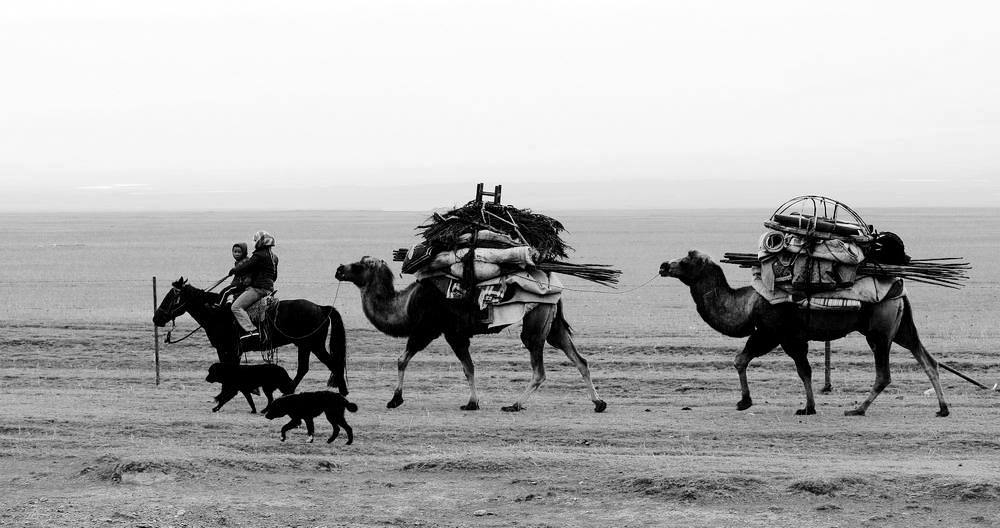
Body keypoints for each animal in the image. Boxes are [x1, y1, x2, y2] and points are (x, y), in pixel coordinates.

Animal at [334, 256, 608, 412]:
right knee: (579, 359)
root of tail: (555, 286)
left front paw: (395, 400)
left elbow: (405, 360)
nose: (338, 269)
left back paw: (515, 405)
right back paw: (598, 403)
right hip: (553, 323)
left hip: (535, 320)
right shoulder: (452, 333)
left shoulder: (433, 330)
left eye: (358, 265)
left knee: (539, 368)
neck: (407, 304)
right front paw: (472, 402)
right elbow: (469, 367)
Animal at [660, 250, 948, 418]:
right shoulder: (781, 336)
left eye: (686, 260)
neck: (747, 303)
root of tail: (899, 287)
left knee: (884, 374)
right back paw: (942, 409)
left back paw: (858, 409)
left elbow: (796, 369)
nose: (663, 265)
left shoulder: (777, 334)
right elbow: (751, 361)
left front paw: (804, 407)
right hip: (901, 328)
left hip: (878, 331)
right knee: (927, 360)